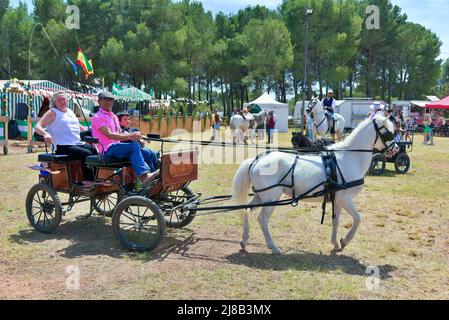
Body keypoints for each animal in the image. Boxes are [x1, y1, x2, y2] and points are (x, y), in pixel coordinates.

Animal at [233, 116, 394, 254]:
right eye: (389, 133)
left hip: (260, 196)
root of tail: (256, 160)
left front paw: (336, 243)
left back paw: (244, 240)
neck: (350, 158)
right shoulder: (345, 198)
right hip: (271, 197)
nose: (395, 148)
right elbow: (358, 218)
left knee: (246, 210)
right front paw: (345, 241)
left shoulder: (337, 199)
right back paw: (273, 247)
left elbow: (336, 221)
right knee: (262, 219)